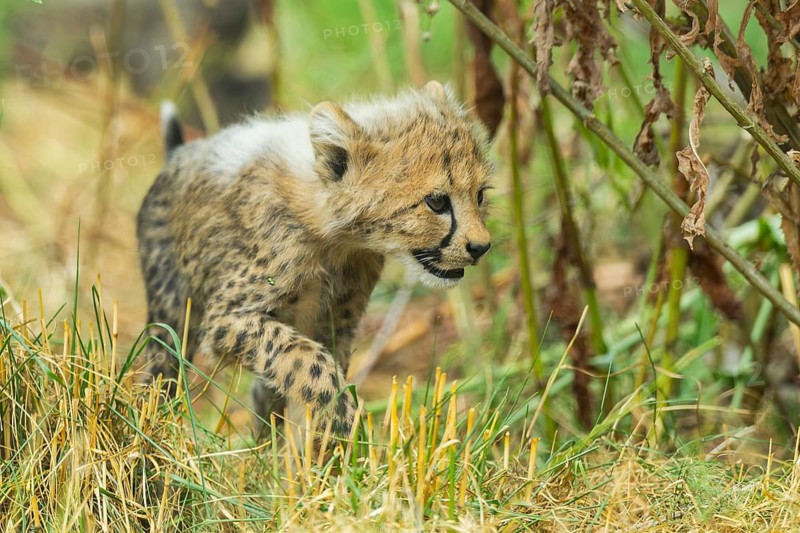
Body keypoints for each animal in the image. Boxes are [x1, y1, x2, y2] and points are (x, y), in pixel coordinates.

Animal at [136, 81, 493, 440]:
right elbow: (310, 360)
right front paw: (342, 425)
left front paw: (316, 448)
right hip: (172, 309)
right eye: (436, 201)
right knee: (158, 370)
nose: (481, 247)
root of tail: (180, 153)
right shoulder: (228, 318)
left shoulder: (336, 323)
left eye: (479, 195)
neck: (333, 235)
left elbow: (310, 370)